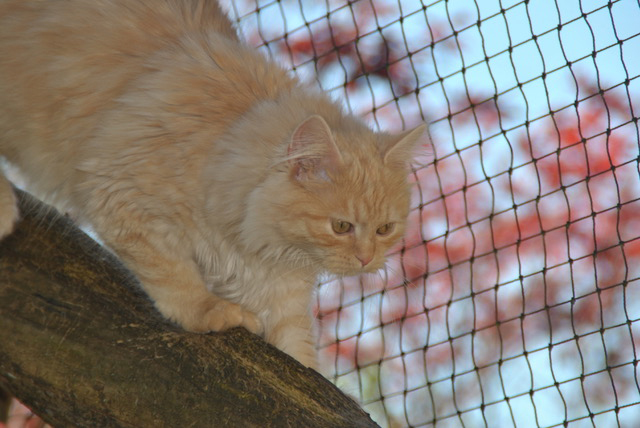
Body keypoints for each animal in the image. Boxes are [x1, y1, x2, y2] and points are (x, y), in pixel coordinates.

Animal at [0, 0, 424, 368]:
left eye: (386, 229)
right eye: (341, 226)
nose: (367, 259)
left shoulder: (283, 296)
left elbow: (299, 352)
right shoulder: (117, 190)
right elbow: (172, 274)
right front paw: (208, 311)